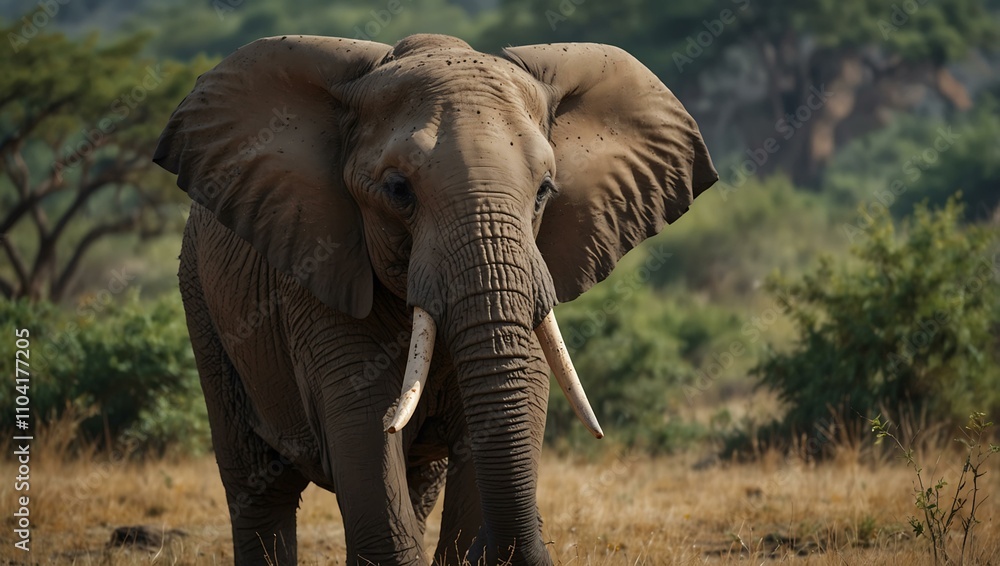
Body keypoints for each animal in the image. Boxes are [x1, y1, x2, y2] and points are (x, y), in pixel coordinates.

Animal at [153, 33, 716, 565]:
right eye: (398, 190)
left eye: (545, 191)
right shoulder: (320, 266)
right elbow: (364, 423)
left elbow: (515, 400)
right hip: (200, 301)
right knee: (259, 488)